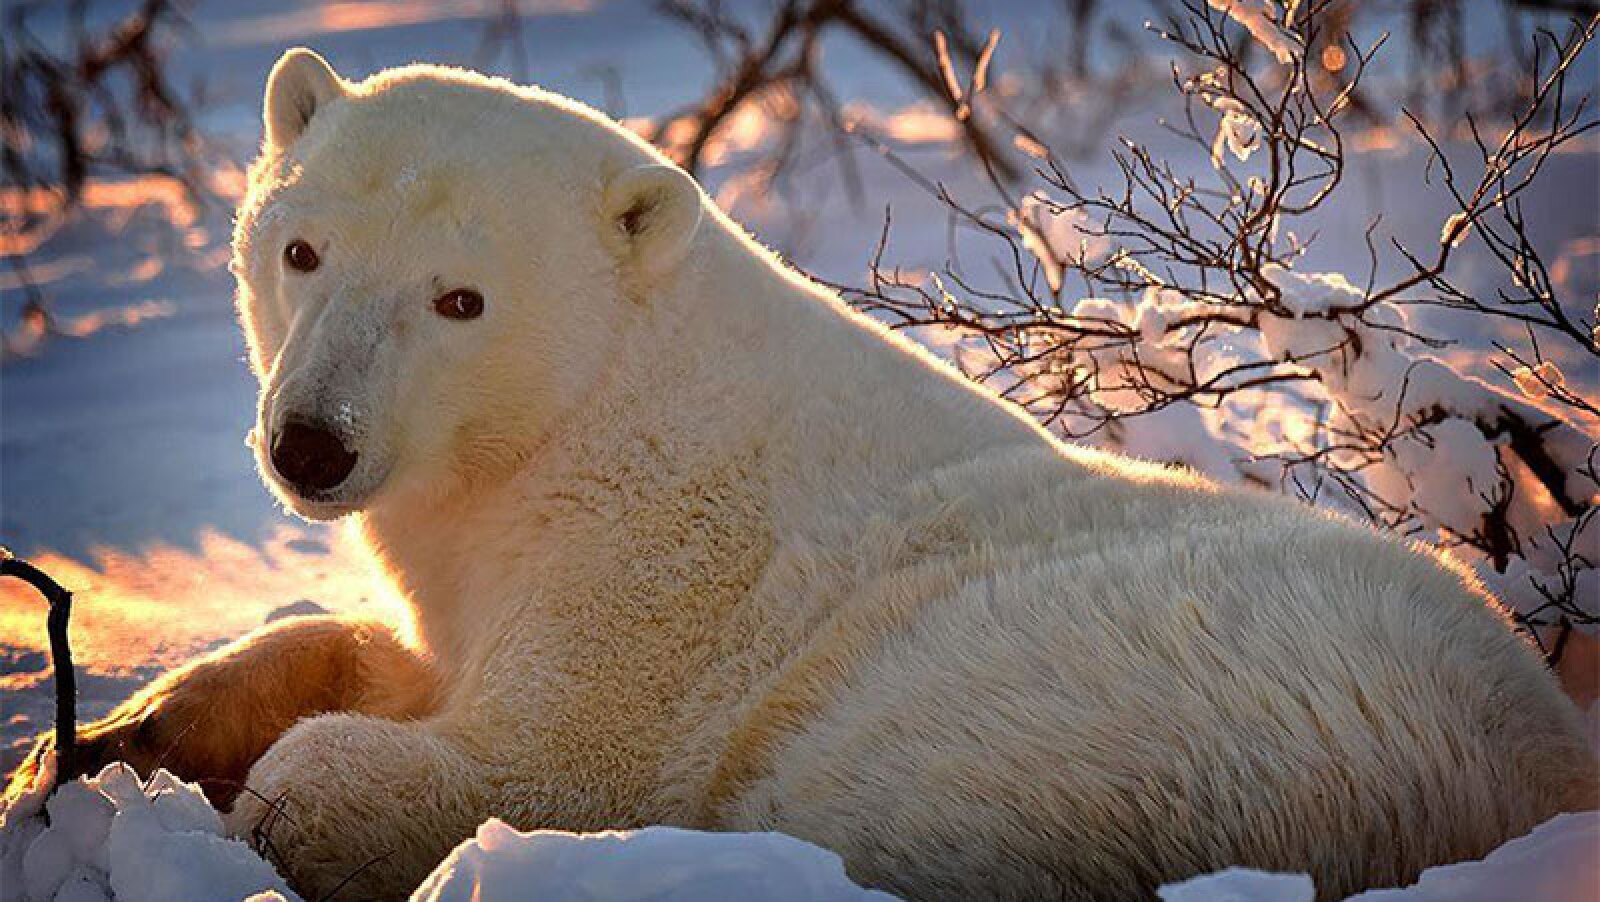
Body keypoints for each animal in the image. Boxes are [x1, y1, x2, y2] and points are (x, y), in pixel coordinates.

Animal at [10, 48, 1593, 901]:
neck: (595, 410)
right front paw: (115, 736)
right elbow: (389, 652)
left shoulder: (651, 579)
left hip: (1139, 714)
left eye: (462, 298)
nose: (314, 442)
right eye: (301, 248)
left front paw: (277, 800)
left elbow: (540, 758)